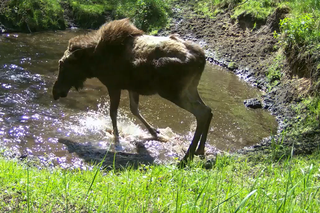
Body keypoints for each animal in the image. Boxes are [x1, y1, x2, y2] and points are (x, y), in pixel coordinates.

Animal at [52, 18, 212, 166]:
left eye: (63, 64)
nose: (55, 92)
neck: (92, 63)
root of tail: (201, 59)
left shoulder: (113, 85)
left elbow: (113, 112)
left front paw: (117, 140)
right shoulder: (131, 87)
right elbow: (134, 109)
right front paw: (155, 133)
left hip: (172, 91)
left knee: (202, 112)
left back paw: (187, 157)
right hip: (190, 88)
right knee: (208, 109)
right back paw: (200, 150)